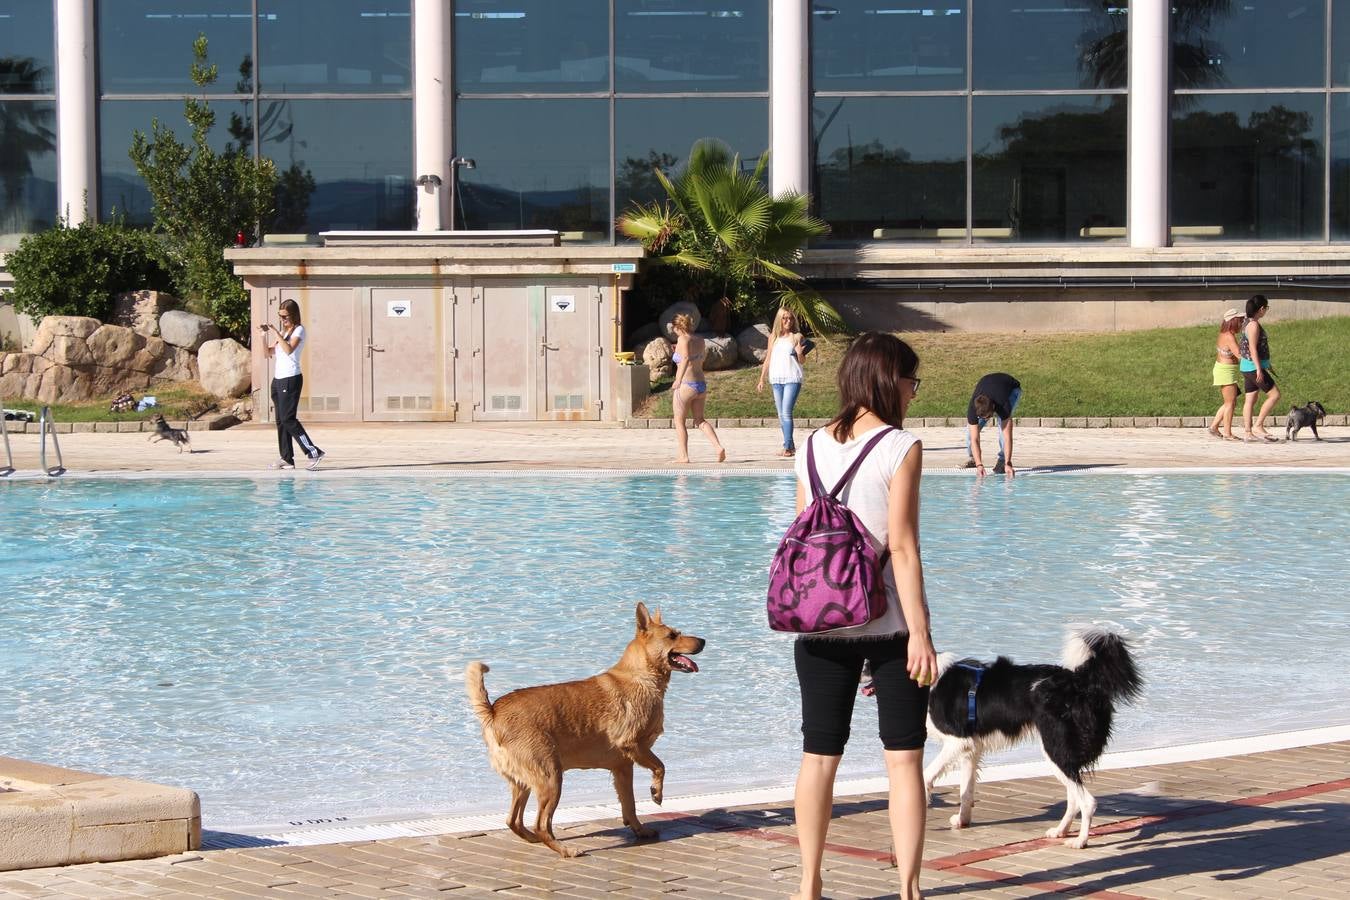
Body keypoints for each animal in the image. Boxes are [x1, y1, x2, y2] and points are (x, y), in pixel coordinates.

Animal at [467, 604, 707, 858]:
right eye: (672, 635)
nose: (703, 640)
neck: (641, 676)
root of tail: (493, 712)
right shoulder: (634, 746)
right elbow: (660, 767)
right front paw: (656, 793)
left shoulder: (623, 767)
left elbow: (629, 805)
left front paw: (639, 830)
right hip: (551, 778)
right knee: (541, 824)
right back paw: (565, 850)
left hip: (523, 782)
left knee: (514, 820)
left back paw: (535, 840)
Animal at [918, 631, 1139, 847]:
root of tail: (1080, 683)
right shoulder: (970, 748)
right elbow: (966, 789)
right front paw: (963, 820)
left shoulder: (958, 741)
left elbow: (927, 775)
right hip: (1060, 752)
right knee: (1074, 797)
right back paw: (1060, 831)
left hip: (1055, 747)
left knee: (1087, 801)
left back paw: (1080, 841)